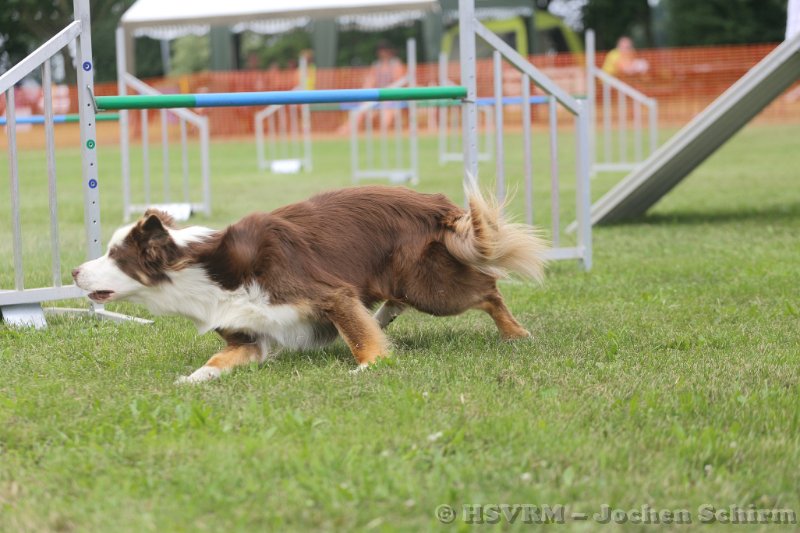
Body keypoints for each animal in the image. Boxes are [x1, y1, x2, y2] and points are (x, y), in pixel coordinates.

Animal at [72, 185, 547, 383]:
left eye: (114, 256)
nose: (75, 272)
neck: (204, 272)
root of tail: (438, 204)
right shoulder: (249, 334)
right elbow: (219, 359)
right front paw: (191, 379)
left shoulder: (327, 292)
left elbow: (357, 336)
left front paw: (370, 365)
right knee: (396, 302)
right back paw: (382, 317)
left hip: (430, 287)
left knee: (488, 288)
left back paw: (516, 334)